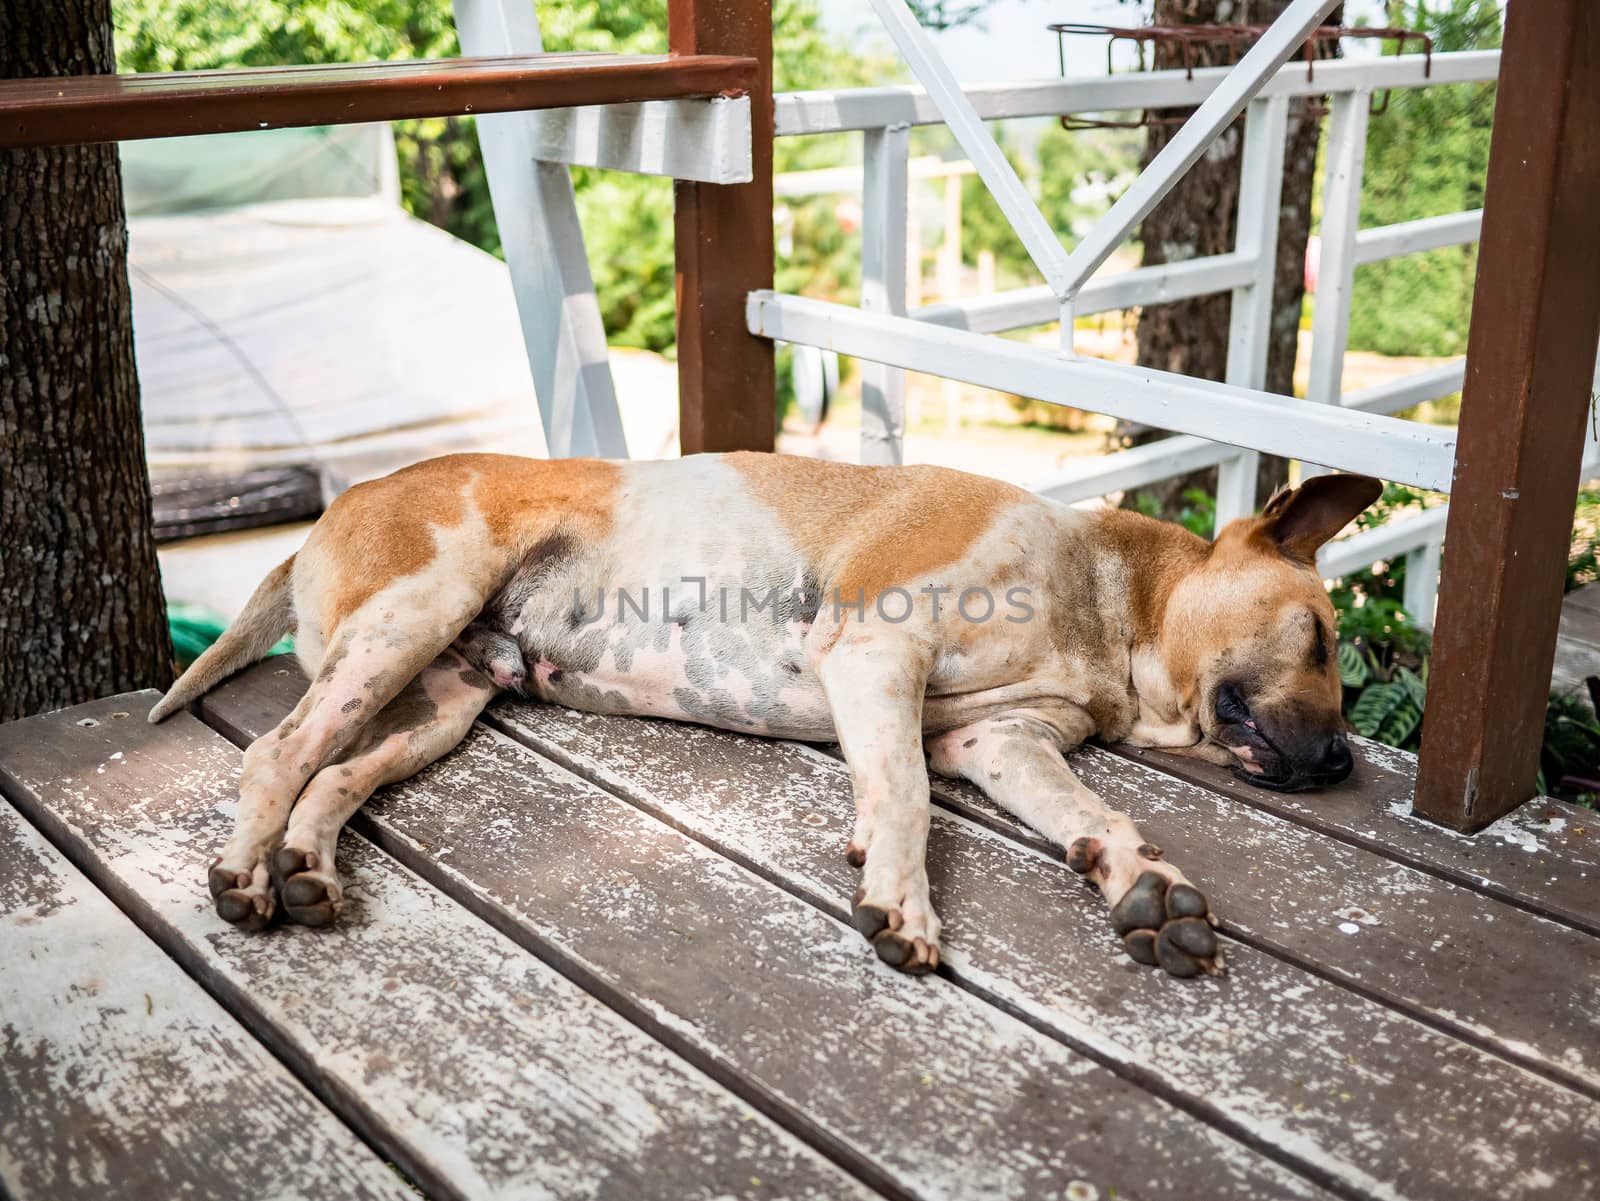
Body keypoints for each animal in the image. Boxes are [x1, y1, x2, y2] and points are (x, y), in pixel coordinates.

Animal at [147, 454, 1376, 978]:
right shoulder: (877, 651)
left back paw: (307, 867)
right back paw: (247, 874)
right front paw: (896, 894)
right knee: (275, 754)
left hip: (436, 701)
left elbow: (1094, 817)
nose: (1339, 763)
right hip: (413, 614)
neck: (1104, 601)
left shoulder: (1002, 738)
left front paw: (1147, 886)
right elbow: (907, 795)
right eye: (1321, 637)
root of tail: (328, 513)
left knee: (329, 775)